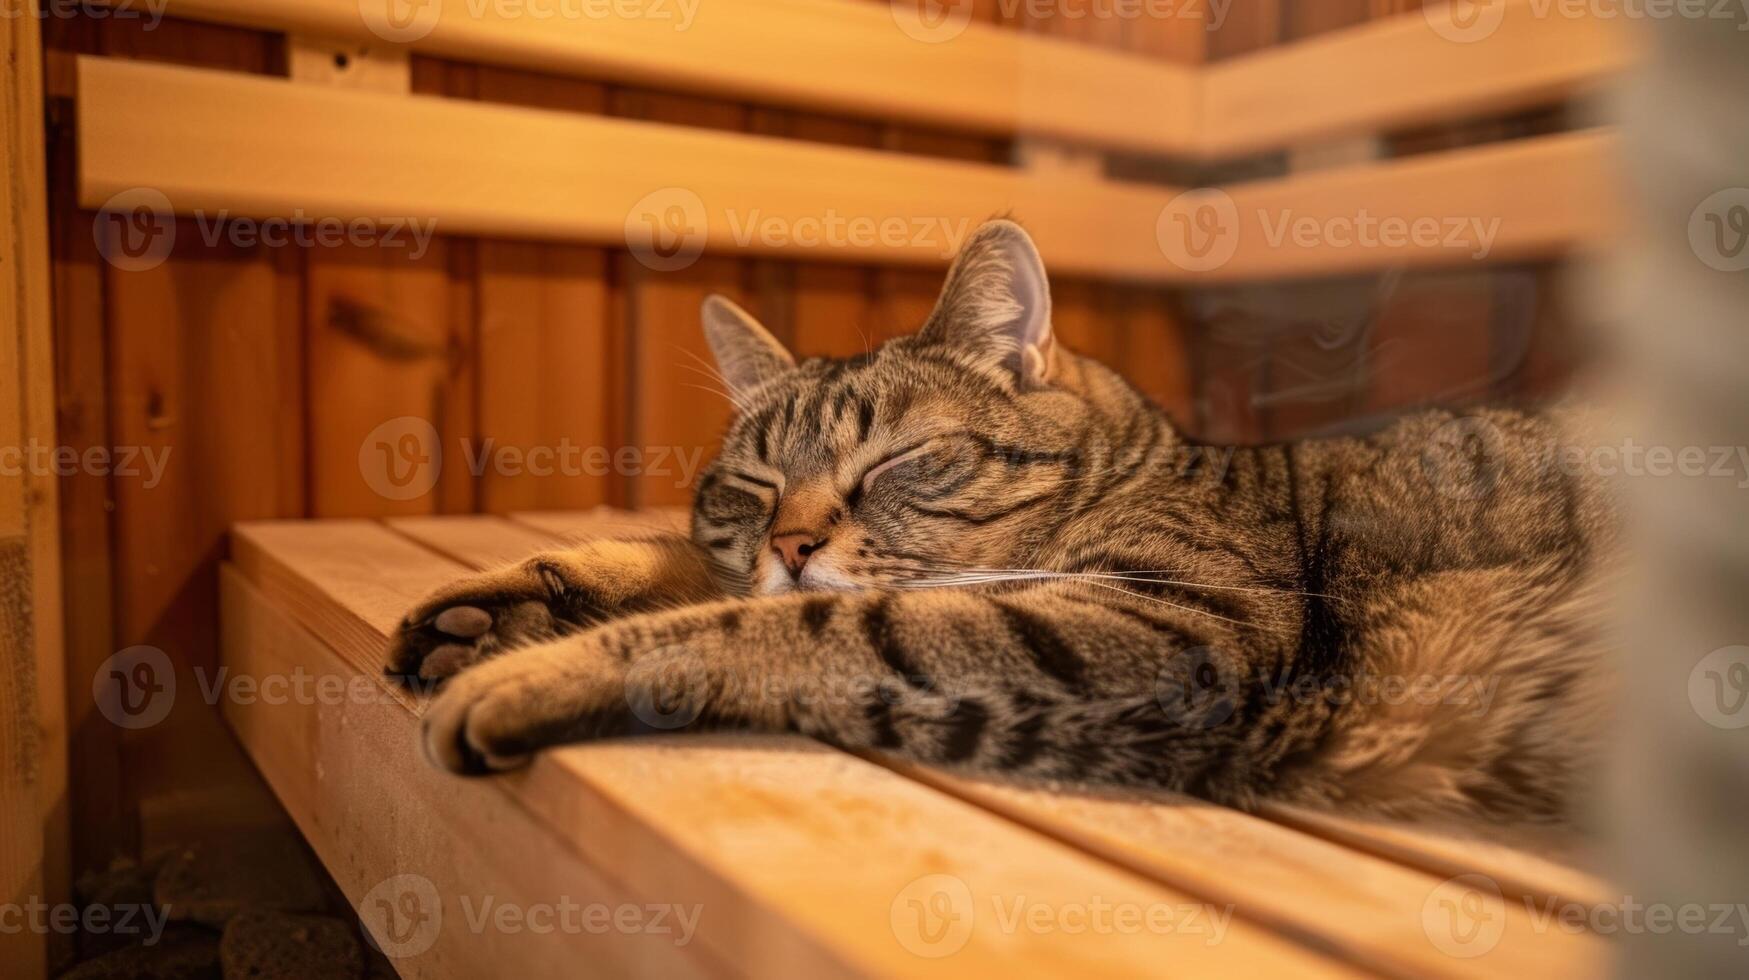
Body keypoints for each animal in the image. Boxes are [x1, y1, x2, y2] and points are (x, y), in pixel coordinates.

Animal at [390, 217, 1616, 822]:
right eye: (751, 485)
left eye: (898, 458)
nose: (791, 541)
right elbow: (690, 572)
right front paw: (493, 612)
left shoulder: (1164, 629)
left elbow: (787, 622)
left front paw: (528, 668)